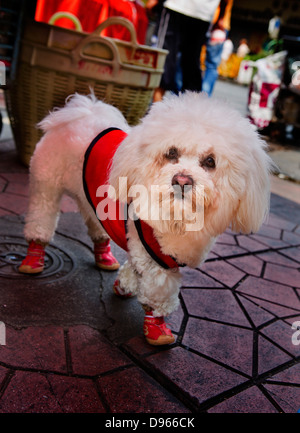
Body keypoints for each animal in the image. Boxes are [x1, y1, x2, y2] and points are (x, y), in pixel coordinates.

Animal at [18, 91, 272, 344]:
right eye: (171, 153)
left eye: (210, 161)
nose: (182, 180)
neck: (179, 218)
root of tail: (83, 112)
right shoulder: (153, 257)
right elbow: (158, 294)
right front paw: (156, 327)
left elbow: (135, 268)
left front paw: (124, 285)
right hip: (46, 185)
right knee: (41, 217)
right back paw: (34, 257)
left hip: (91, 199)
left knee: (95, 224)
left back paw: (104, 255)